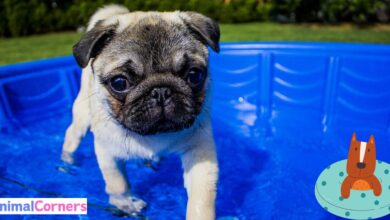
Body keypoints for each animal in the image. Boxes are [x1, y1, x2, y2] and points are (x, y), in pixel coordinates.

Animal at [61, 4, 219, 219]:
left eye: (194, 75)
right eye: (119, 83)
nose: (160, 91)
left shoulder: (200, 151)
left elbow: (201, 198)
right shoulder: (107, 152)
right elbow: (118, 183)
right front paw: (125, 202)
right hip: (82, 117)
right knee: (72, 136)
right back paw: (66, 161)